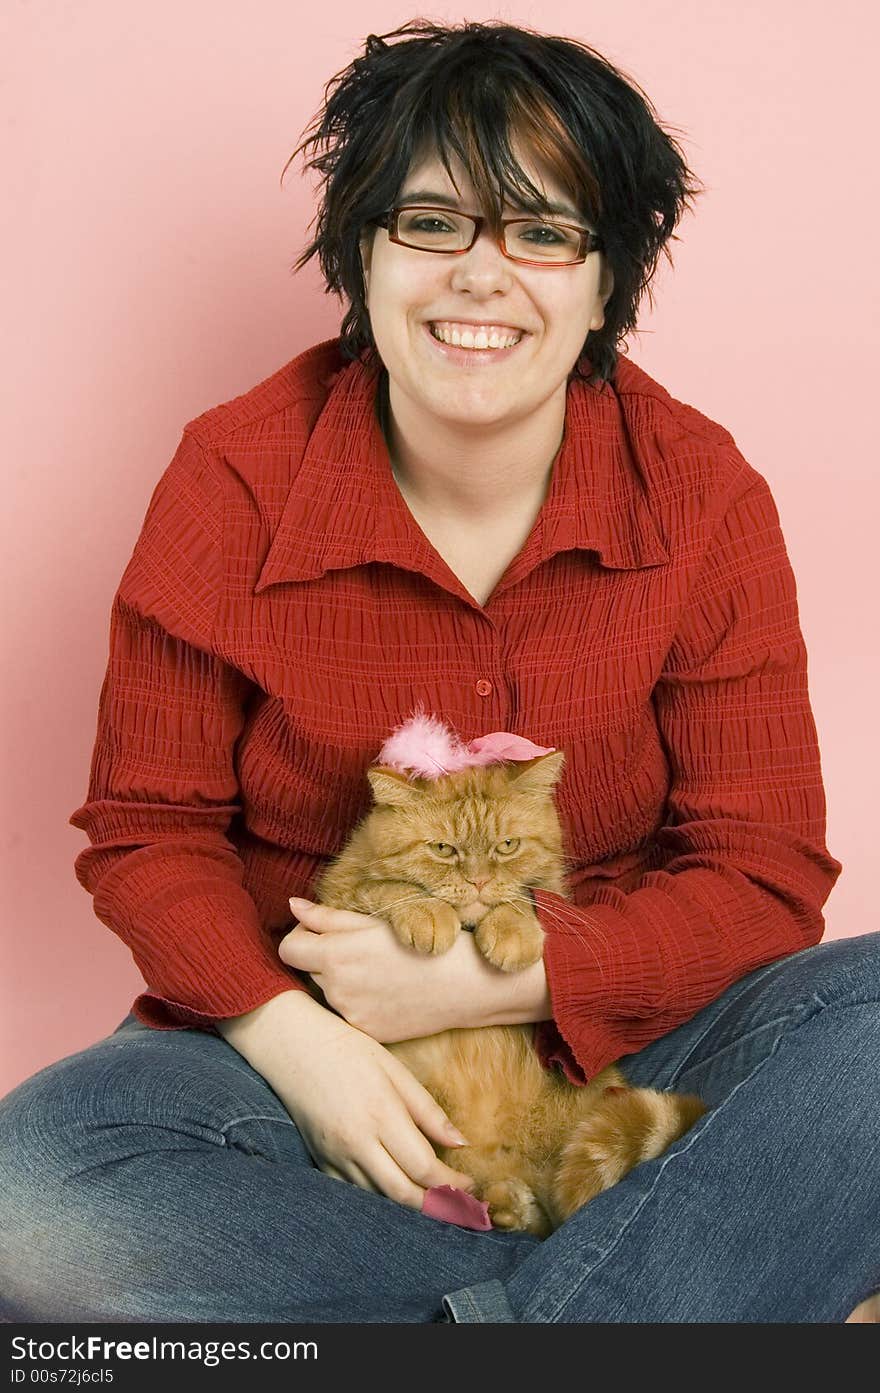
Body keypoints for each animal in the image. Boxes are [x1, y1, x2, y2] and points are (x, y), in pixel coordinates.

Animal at [313, 746, 704, 1236]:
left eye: (507, 847)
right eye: (443, 849)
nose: (478, 882)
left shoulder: (553, 894)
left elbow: (524, 898)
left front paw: (512, 929)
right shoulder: (336, 898)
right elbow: (386, 887)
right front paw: (428, 913)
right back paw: (505, 1203)